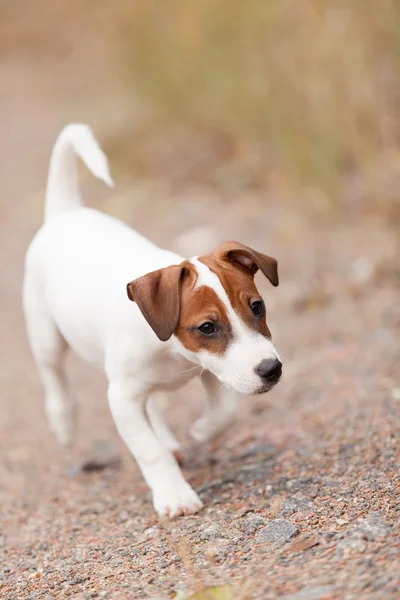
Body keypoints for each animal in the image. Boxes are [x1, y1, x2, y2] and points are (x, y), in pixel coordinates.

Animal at [23, 124, 282, 516]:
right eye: (207, 327)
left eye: (257, 307)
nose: (271, 369)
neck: (169, 351)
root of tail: (65, 212)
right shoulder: (121, 398)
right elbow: (149, 450)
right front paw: (175, 495)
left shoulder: (211, 370)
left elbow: (226, 411)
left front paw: (201, 431)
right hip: (45, 336)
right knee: (55, 379)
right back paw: (63, 421)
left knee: (152, 406)